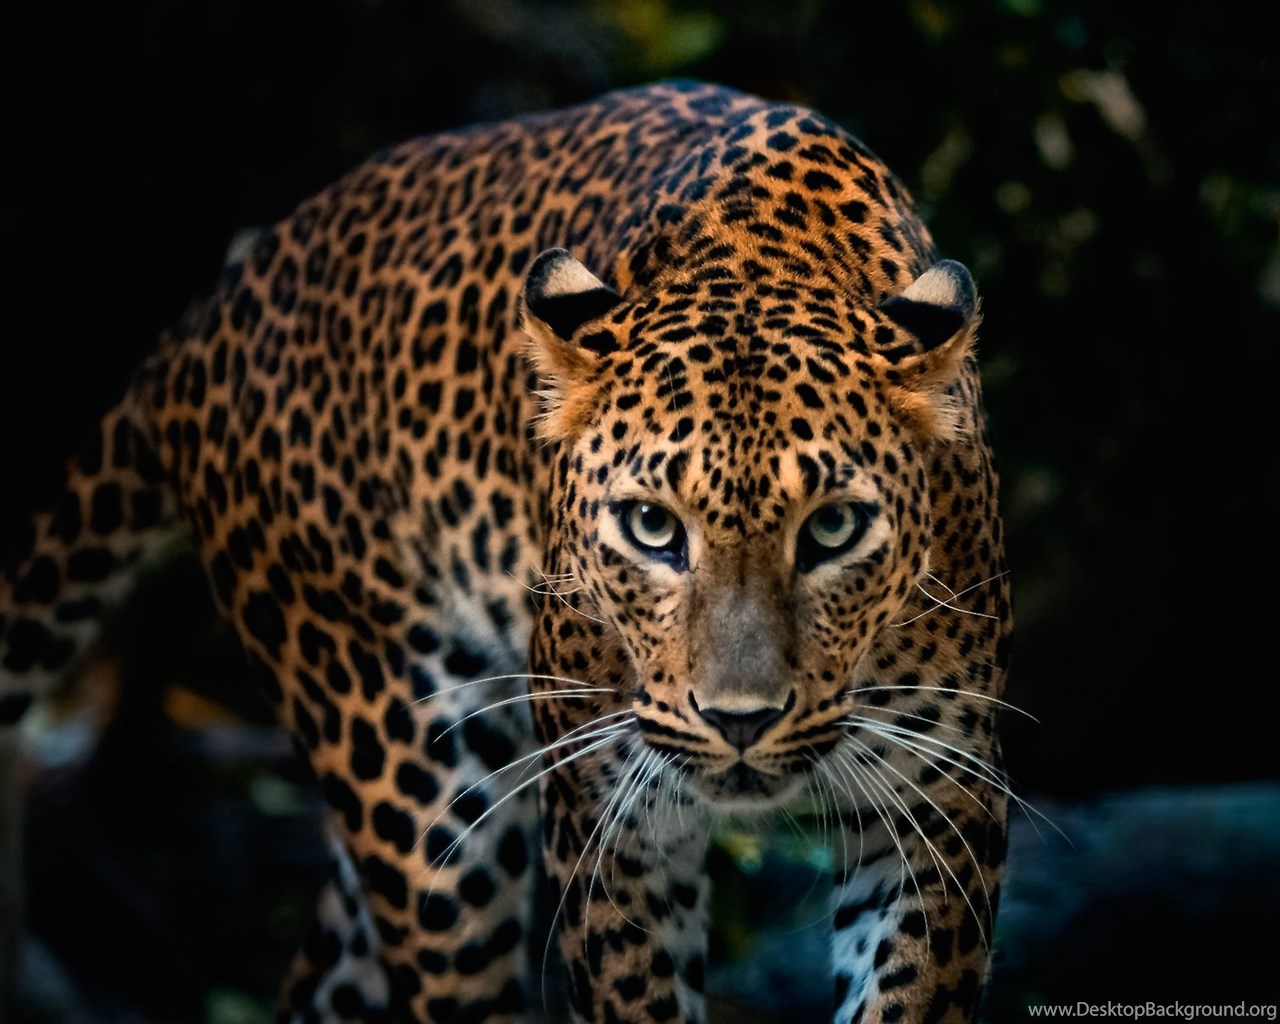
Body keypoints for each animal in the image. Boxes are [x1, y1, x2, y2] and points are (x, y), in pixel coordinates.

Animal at [0, 80, 1012, 1023]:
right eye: (652, 527)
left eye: (833, 528)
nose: (740, 721)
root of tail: (212, 313)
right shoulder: (611, 820)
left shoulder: (941, 800)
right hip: (411, 773)